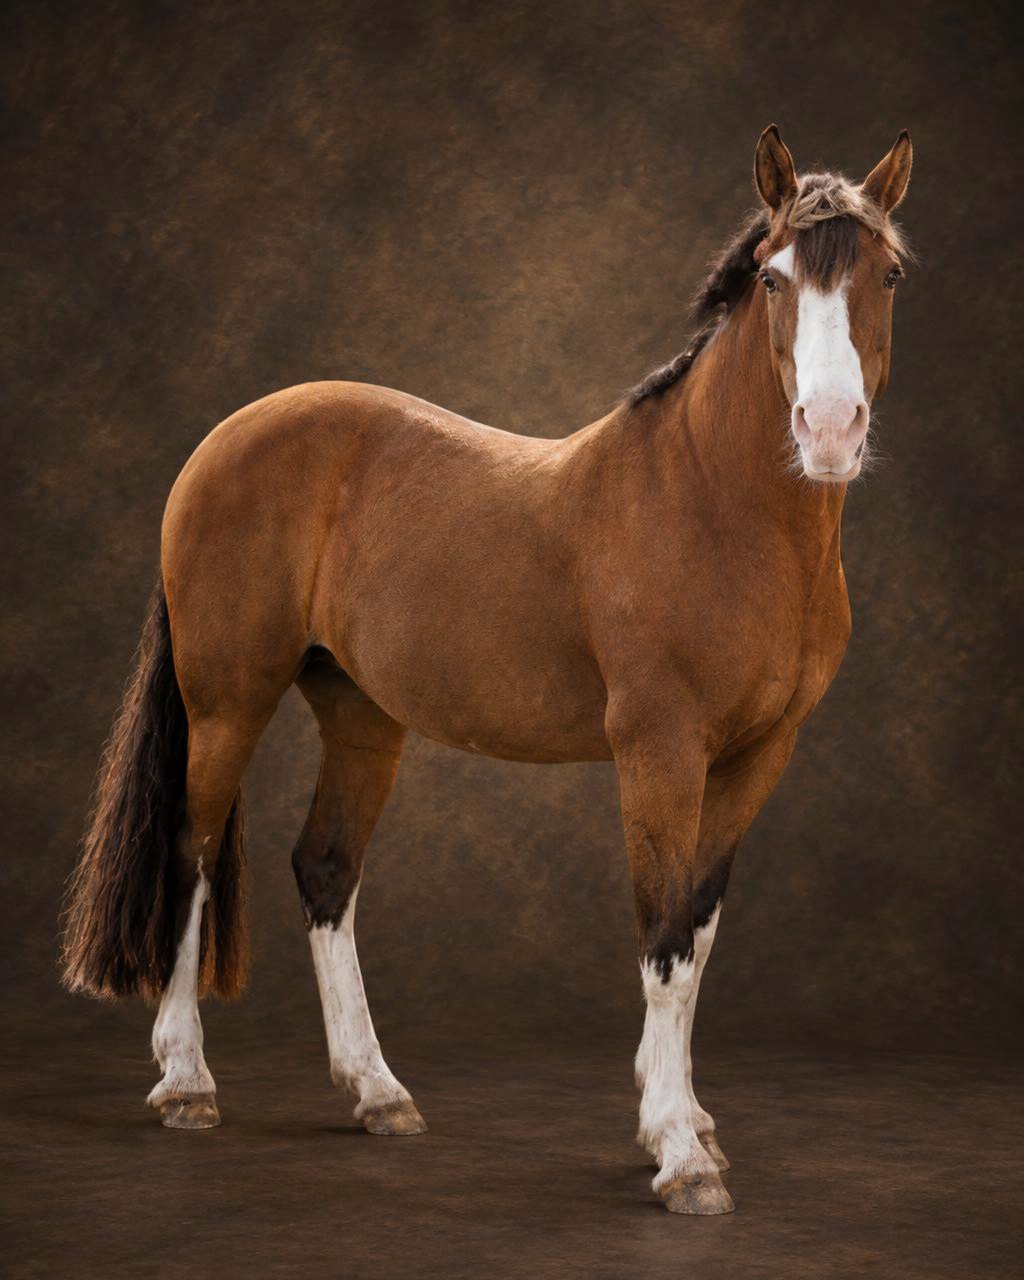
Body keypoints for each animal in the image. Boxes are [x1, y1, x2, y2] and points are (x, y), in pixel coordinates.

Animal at [62, 125, 912, 1215]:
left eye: (886, 273)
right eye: (772, 277)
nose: (830, 429)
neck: (712, 508)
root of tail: (224, 439)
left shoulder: (760, 754)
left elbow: (700, 931)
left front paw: (688, 1121)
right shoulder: (660, 751)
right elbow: (665, 939)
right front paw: (679, 1152)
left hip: (361, 711)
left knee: (325, 867)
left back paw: (378, 1093)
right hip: (226, 701)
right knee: (192, 854)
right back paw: (186, 1082)